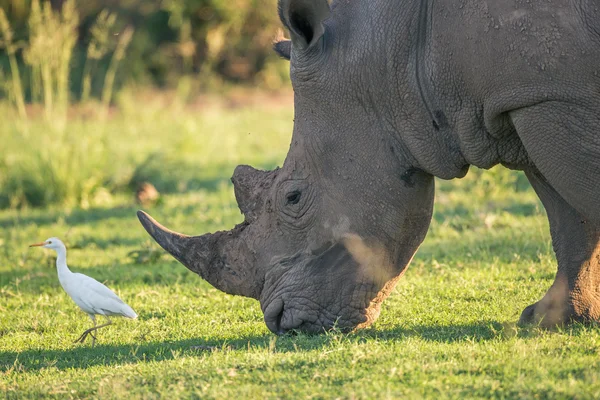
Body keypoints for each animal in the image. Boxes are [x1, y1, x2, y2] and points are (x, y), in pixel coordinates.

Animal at [138, 0, 600, 332]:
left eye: (293, 197)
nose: (282, 323)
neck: (399, 51)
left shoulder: (545, 96)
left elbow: (577, 205)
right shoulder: (523, 101)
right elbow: (568, 221)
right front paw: (551, 319)